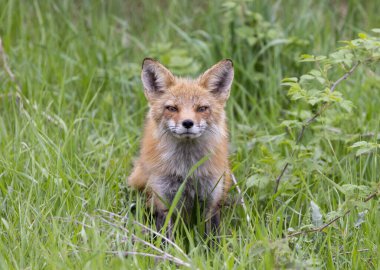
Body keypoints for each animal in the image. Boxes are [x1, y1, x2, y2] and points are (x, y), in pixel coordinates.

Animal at [128, 58, 235, 237]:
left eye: (202, 108)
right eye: (172, 108)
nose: (187, 123)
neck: (187, 169)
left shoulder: (211, 199)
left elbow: (212, 238)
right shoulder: (163, 199)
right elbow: (165, 237)